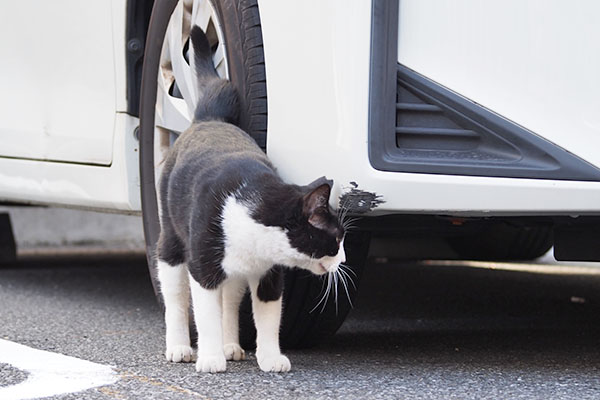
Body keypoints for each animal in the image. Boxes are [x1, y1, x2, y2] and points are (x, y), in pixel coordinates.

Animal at [154, 26, 346, 374]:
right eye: (336, 239)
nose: (344, 260)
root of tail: (209, 119)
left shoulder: (270, 273)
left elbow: (268, 317)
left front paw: (270, 357)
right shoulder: (203, 265)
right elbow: (206, 314)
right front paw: (210, 359)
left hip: (236, 272)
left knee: (230, 299)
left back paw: (231, 345)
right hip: (172, 239)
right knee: (175, 295)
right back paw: (180, 347)